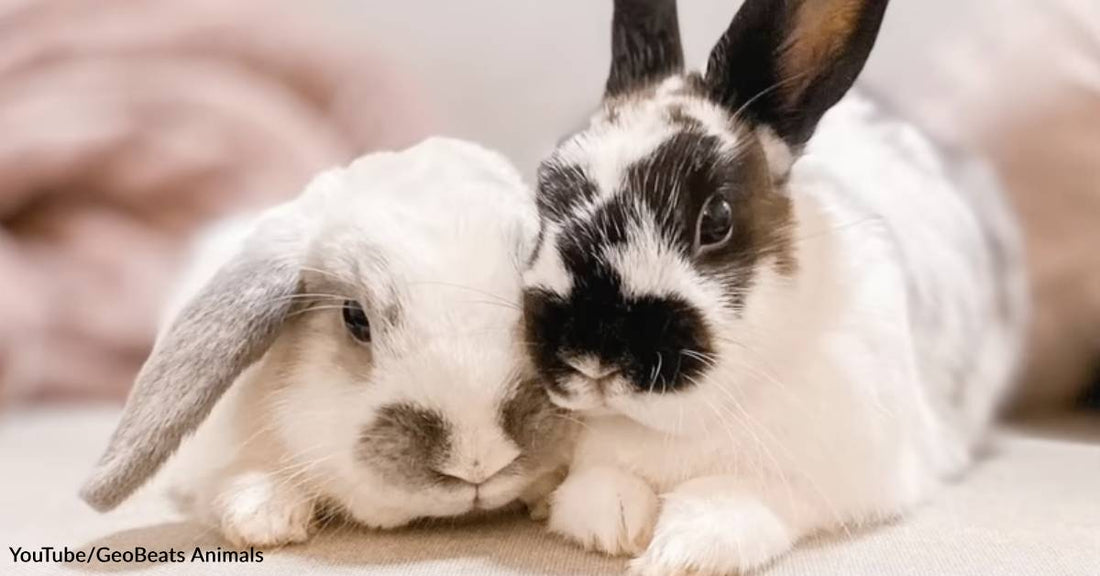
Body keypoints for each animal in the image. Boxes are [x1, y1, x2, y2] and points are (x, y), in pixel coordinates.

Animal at [519, 2, 1025, 571]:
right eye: (545, 198)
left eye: (716, 220)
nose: (592, 350)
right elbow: (593, 486)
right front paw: (614, 522)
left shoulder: (830, 478)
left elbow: (737, 495)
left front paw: (683, 551)